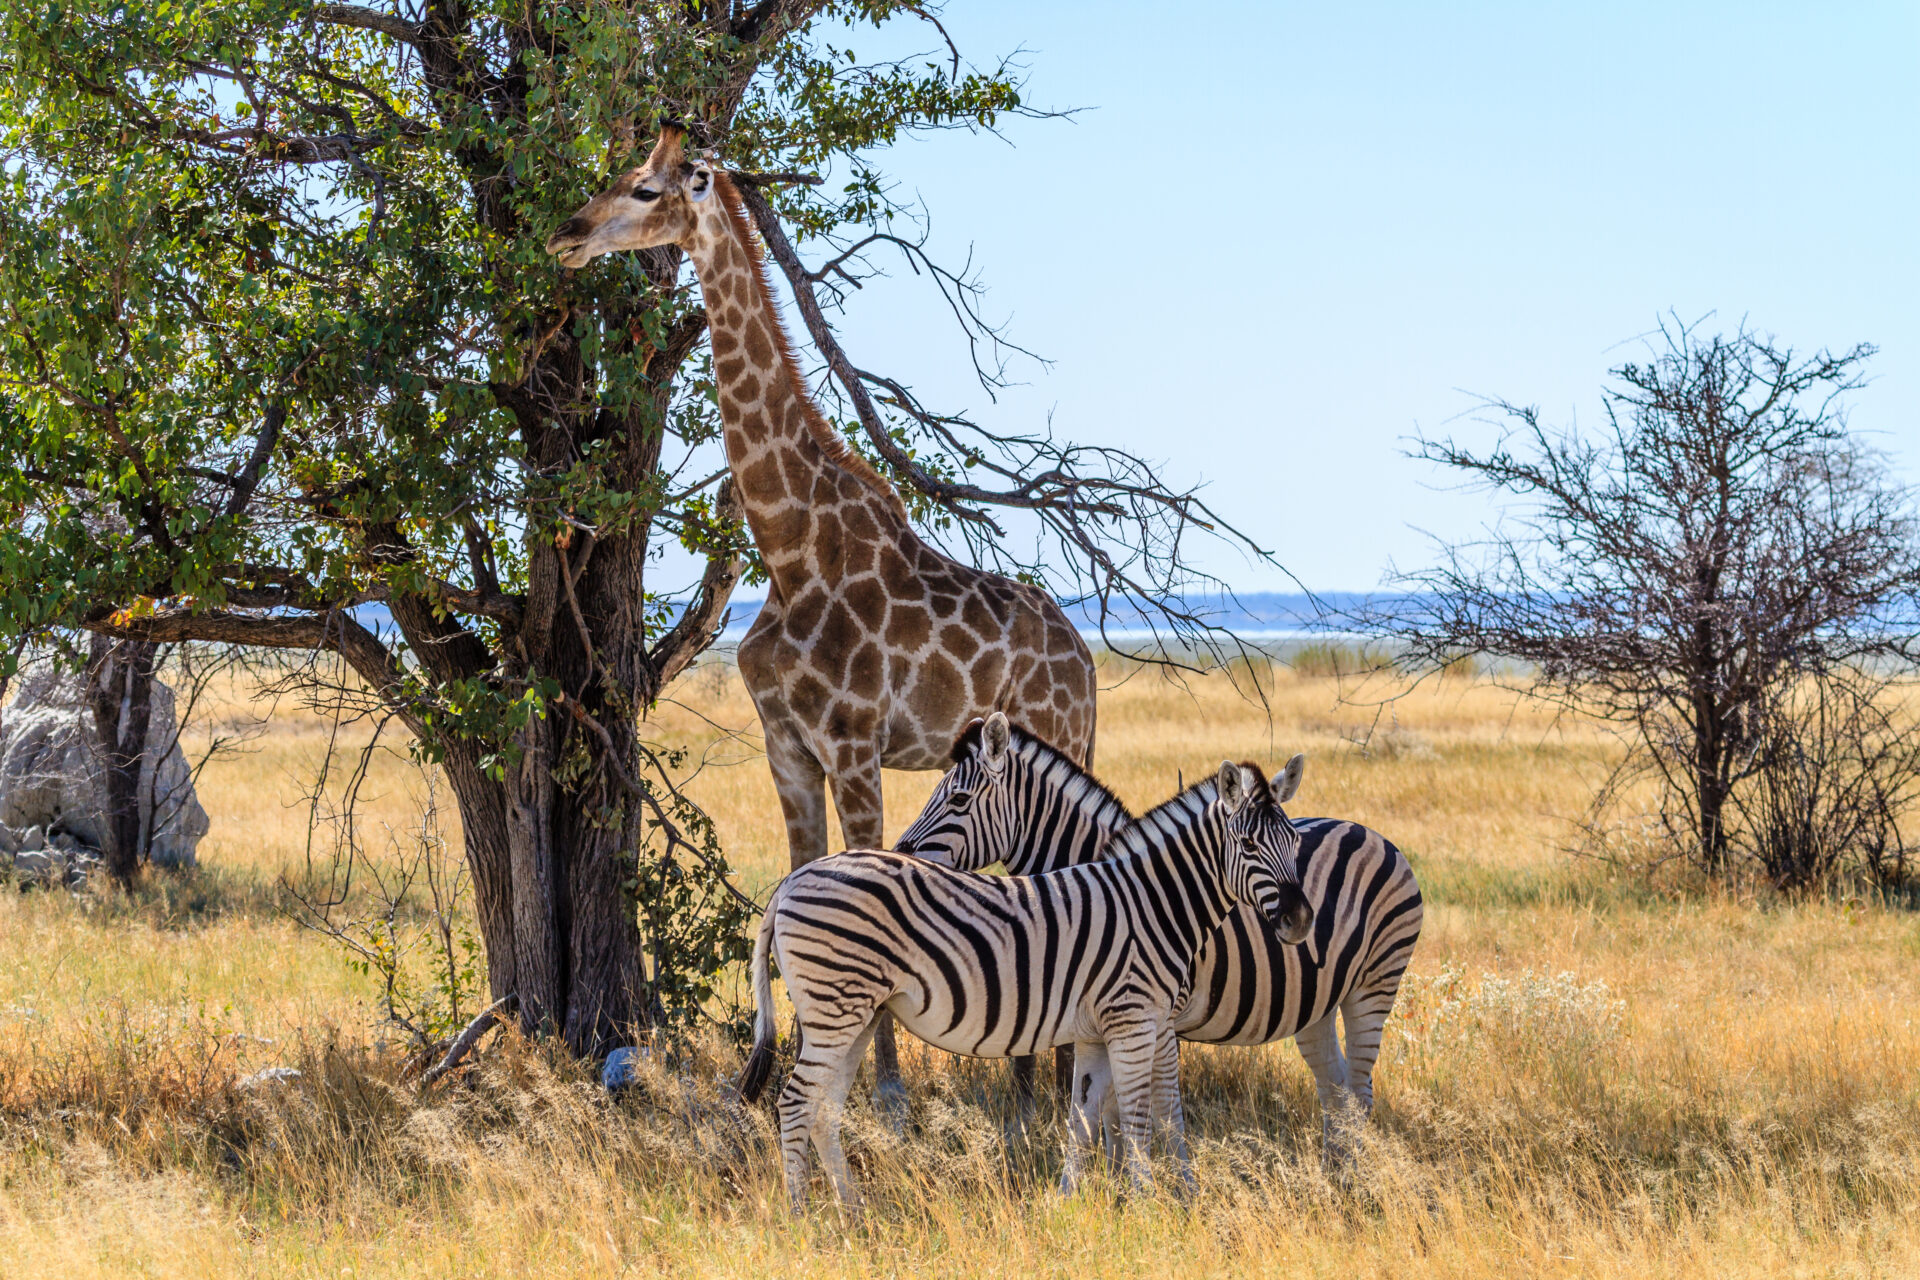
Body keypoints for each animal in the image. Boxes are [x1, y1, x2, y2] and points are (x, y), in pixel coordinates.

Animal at [736, 756, 1314, 1208]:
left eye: (1295, 841)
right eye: (1248, 844)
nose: (1300, 921)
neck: (1152, 904)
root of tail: (793, 879)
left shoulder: (1096, 1031)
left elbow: (1083, 1121)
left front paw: (1069, 1204)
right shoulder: (1134, 1021)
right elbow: (1140, 1118)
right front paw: (1150, 1207)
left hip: (856, 1014)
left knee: (823, 1109)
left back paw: (852, 1214)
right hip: (835, 1010)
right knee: (796, 1103)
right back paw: (803, 1218)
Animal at [894, 712, 1423, 1165]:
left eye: (958, 800)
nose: (899, 852)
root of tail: (1376, 834)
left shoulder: (1158, 1015)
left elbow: (1154, 1114)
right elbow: (1110, 1111)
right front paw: (1112, 1184)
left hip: (1373, 987)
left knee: (1361, 1090)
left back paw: (1356, 1184)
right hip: (1316, 1003)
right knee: (1336, 1091)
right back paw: (1335, 1176)